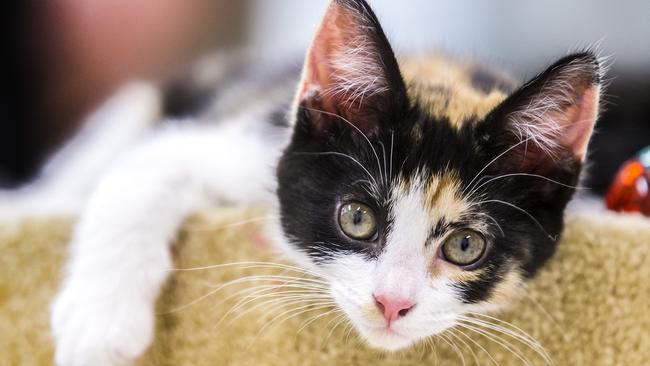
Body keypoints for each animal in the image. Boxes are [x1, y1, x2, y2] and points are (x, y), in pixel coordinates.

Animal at [50, 0, 604, 366]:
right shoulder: (250, 139)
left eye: (465, 246)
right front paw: (99, 327)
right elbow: (146, 169)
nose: (391, 304)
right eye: (357, 218)